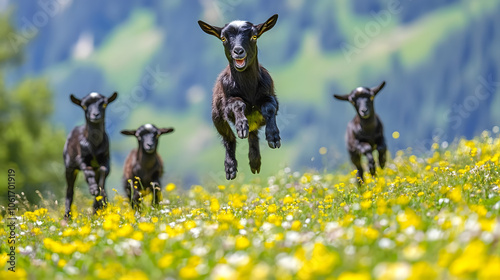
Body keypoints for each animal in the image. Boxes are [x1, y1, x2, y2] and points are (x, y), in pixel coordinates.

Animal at [197, 13, 282, 179]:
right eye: (223, 38)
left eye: (254, 36)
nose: (238, 51)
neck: (248, 89)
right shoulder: (227, 101)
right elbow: (238, 104)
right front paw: (241, 125)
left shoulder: (271, 95)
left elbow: (269, 108)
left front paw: (274, 137)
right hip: (217, 116)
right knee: (229, 138)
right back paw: (230, 168)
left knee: (253, 135)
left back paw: (255, 162)